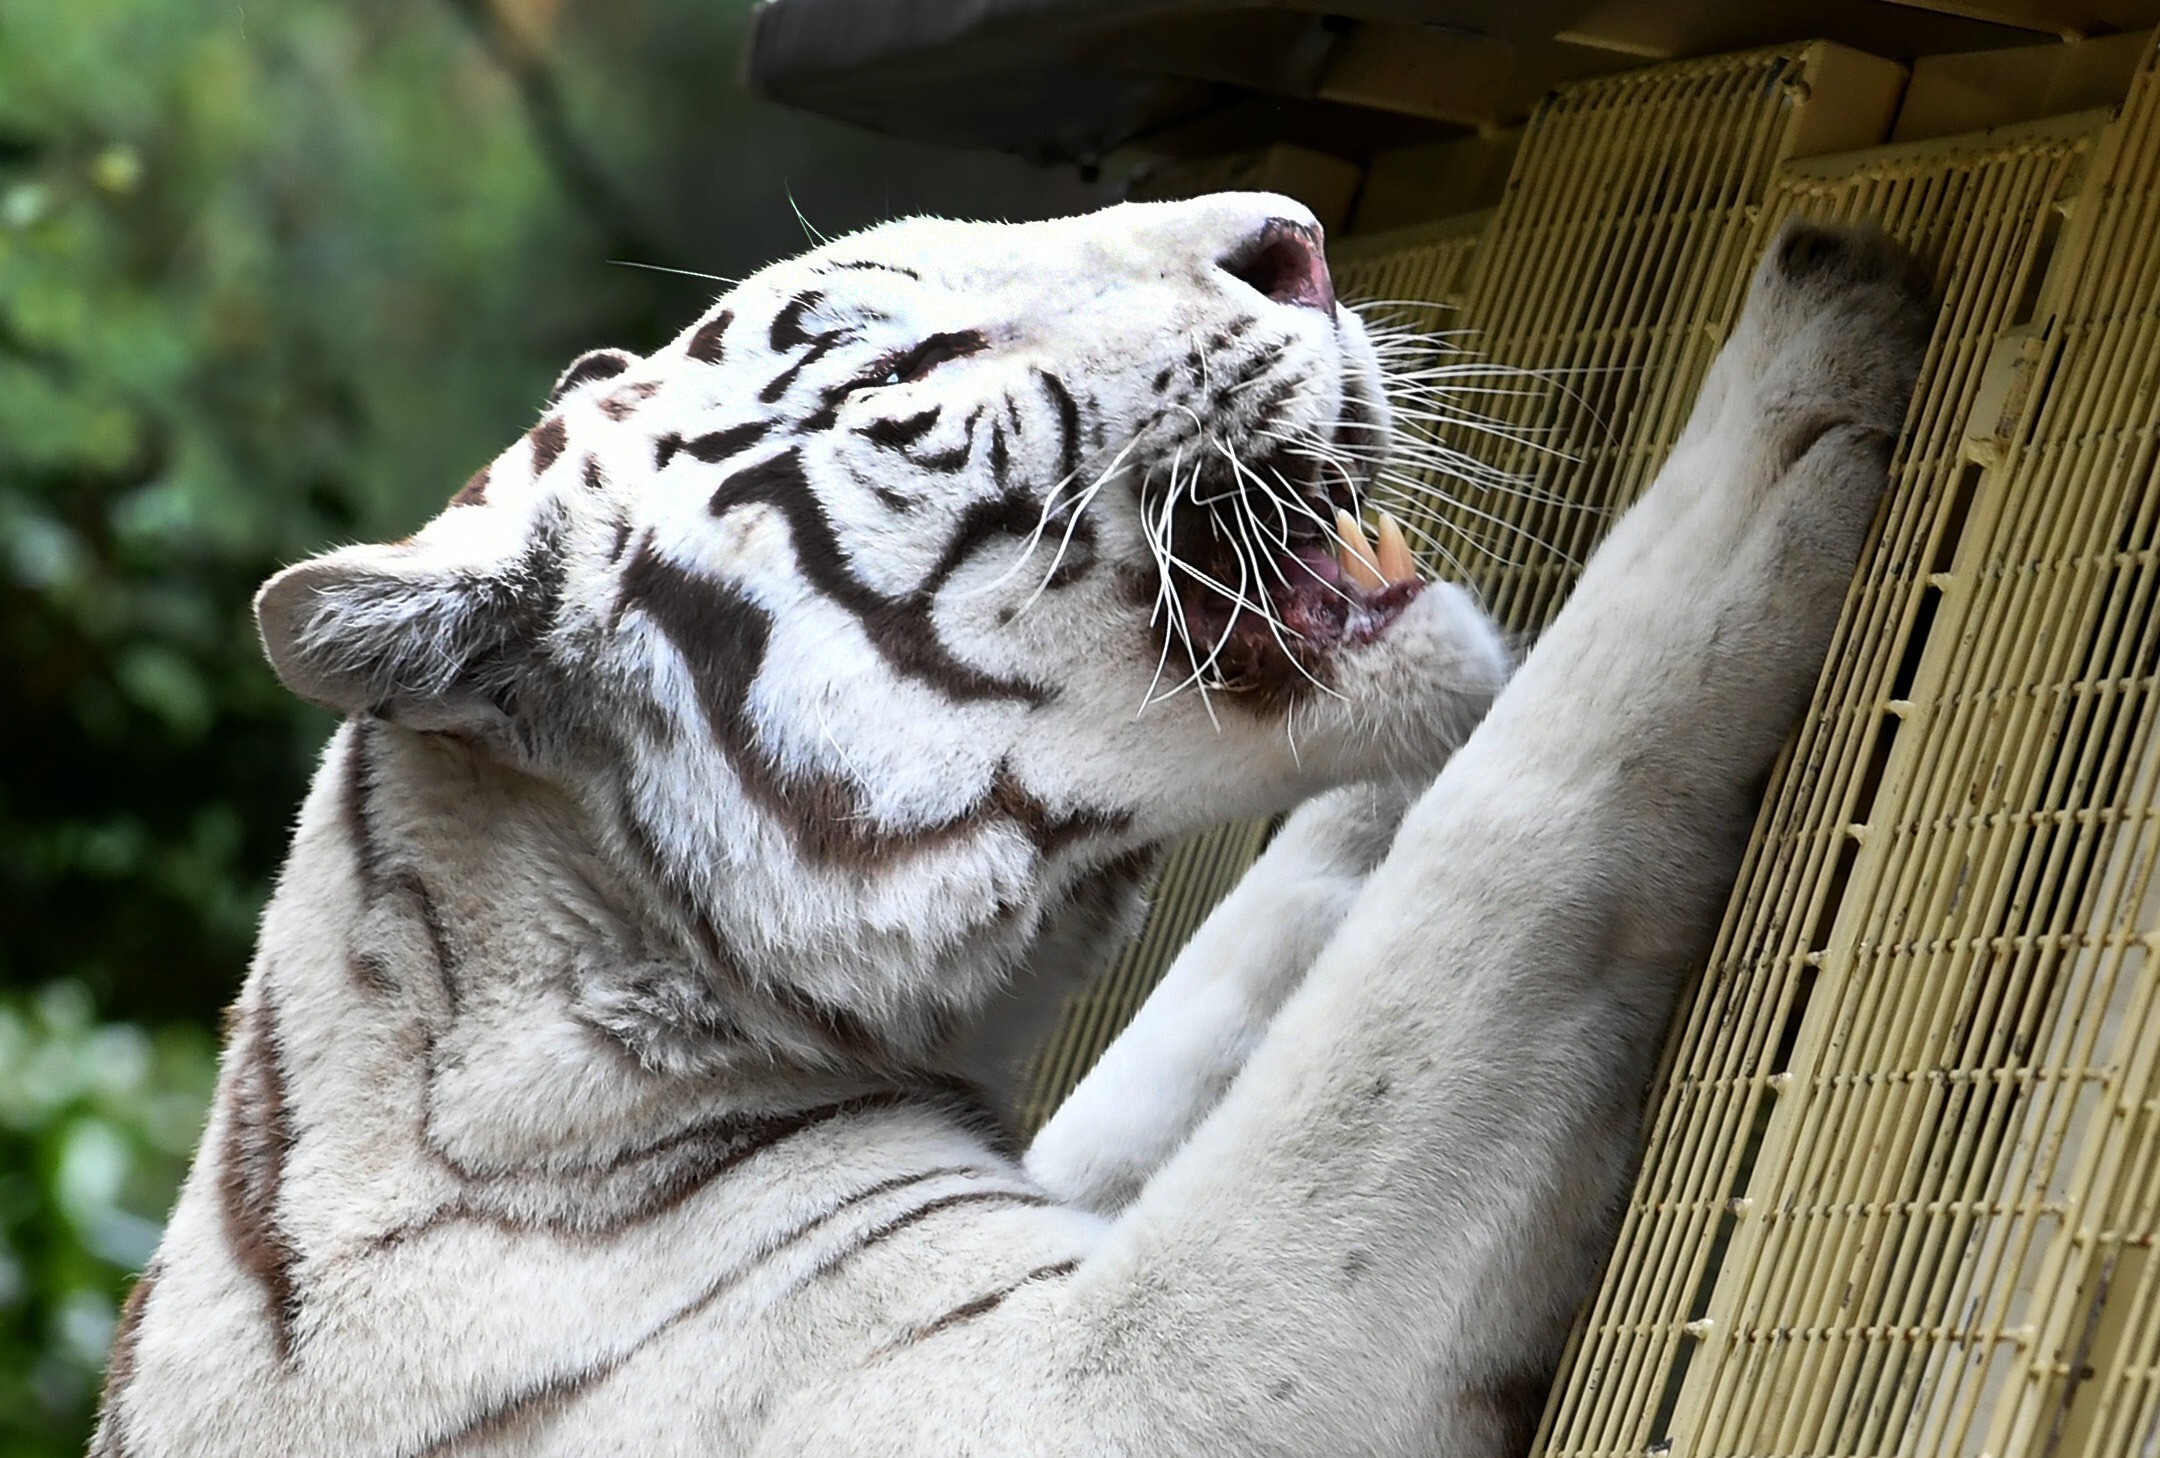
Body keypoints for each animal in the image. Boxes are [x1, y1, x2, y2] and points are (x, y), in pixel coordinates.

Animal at [92, 196, 1935, 1458]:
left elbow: (1259, 966)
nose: (1299, 243)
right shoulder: (1120, 1376)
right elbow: (1478, 894)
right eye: (894, 352)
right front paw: (1810, 343)